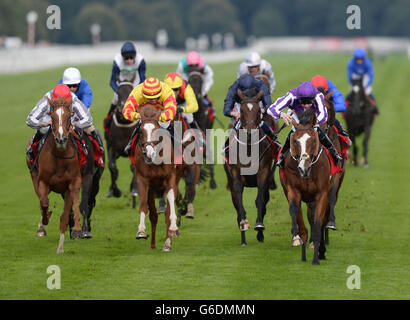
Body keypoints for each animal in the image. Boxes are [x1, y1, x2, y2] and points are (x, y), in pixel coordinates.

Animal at [26, 96, 82, 254]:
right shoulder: (42, 182)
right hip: (33, 177)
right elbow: (44, 202)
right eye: (52, 117)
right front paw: (44, 222)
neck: (60, 157)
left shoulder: (73, 182)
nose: (61, 139)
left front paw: (76, 229)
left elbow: (68, 212)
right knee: (41, 200)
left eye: (69, 116)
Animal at [134, 104, 179, 250]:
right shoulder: (142, 178)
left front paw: (173, 229)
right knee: (153, 215)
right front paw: (141, 231)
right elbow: (143, 204)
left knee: (166, 212)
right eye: (140, 131)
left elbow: (170, 203)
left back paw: (167, 243)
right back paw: (153, 244)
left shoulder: (170, 176)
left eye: (157, 131)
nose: (149, 153)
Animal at [223, 89, 278, 245]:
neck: (248, 149)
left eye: (258, 110)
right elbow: (239, 201)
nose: (249, 132)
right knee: (236, 204)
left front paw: (259, 225)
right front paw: (243, 223)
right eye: (241, 110)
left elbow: (260, 201)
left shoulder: (264, 173)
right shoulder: (236, 174)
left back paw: (260, 235)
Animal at [280, 109, 332, 264]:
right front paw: (297, 239)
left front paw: (316, 256)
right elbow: (295, 213)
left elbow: (318, 222)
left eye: (313, 140)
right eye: (295, 141)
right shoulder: (293, 190)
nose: (304, 169)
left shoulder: (321, 194)